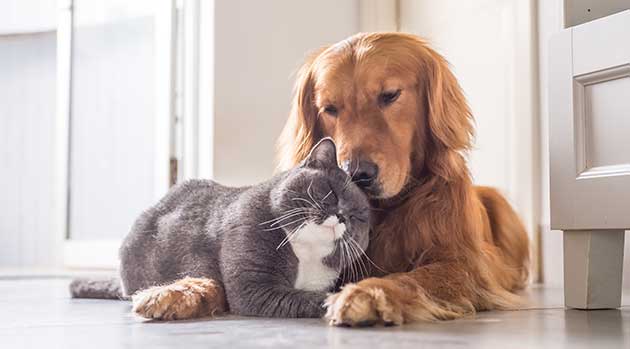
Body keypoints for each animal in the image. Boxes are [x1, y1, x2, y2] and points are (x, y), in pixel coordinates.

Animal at [70, 138, 370, 318]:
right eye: (330, 192)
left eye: (358, 217)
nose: (341, 216)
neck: (305, 254)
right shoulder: (253, 286)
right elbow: (308, 298)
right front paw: (342, 301)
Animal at [278, 32, 532, 326]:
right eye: (329, 108)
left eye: (390, 95)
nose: (356, 174)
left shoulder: (463, 265)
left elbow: (412, 278)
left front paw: (368, 293)